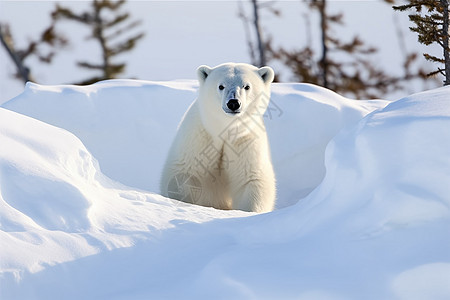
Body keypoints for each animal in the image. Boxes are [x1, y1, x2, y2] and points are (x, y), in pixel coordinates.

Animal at [160, 62, 276, 212]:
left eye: (247, 86)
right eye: (221, 86)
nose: (233, 103)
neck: (224, 130)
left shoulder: (245, 140)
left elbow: (251, 179)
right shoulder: (199, 138)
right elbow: (184, 175)